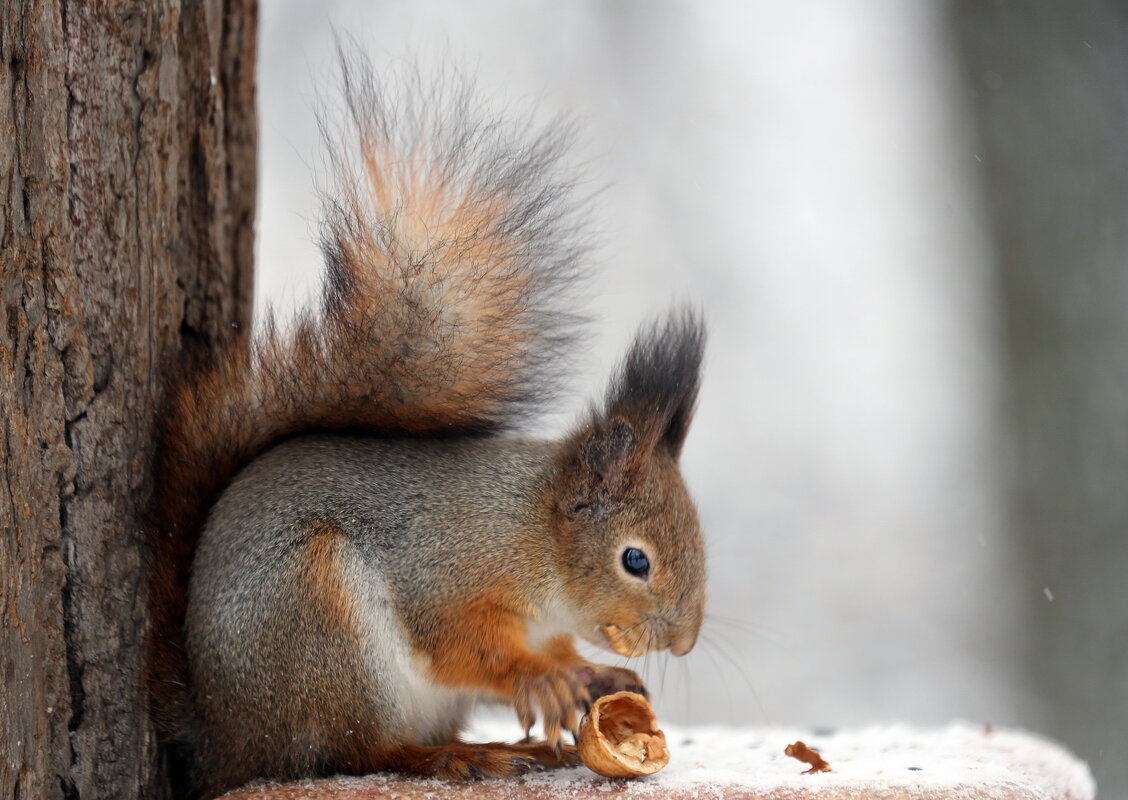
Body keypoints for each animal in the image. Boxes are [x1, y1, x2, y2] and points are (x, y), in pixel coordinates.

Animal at [142, 53, 703, 794]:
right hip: (322, 629)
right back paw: (456, 756)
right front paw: (544, 680)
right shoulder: (450, 574)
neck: (533, 535)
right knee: (357, 752)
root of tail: (226, 740)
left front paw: (590, 674)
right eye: (635, 560)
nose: (683, 641)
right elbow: (466, 646)